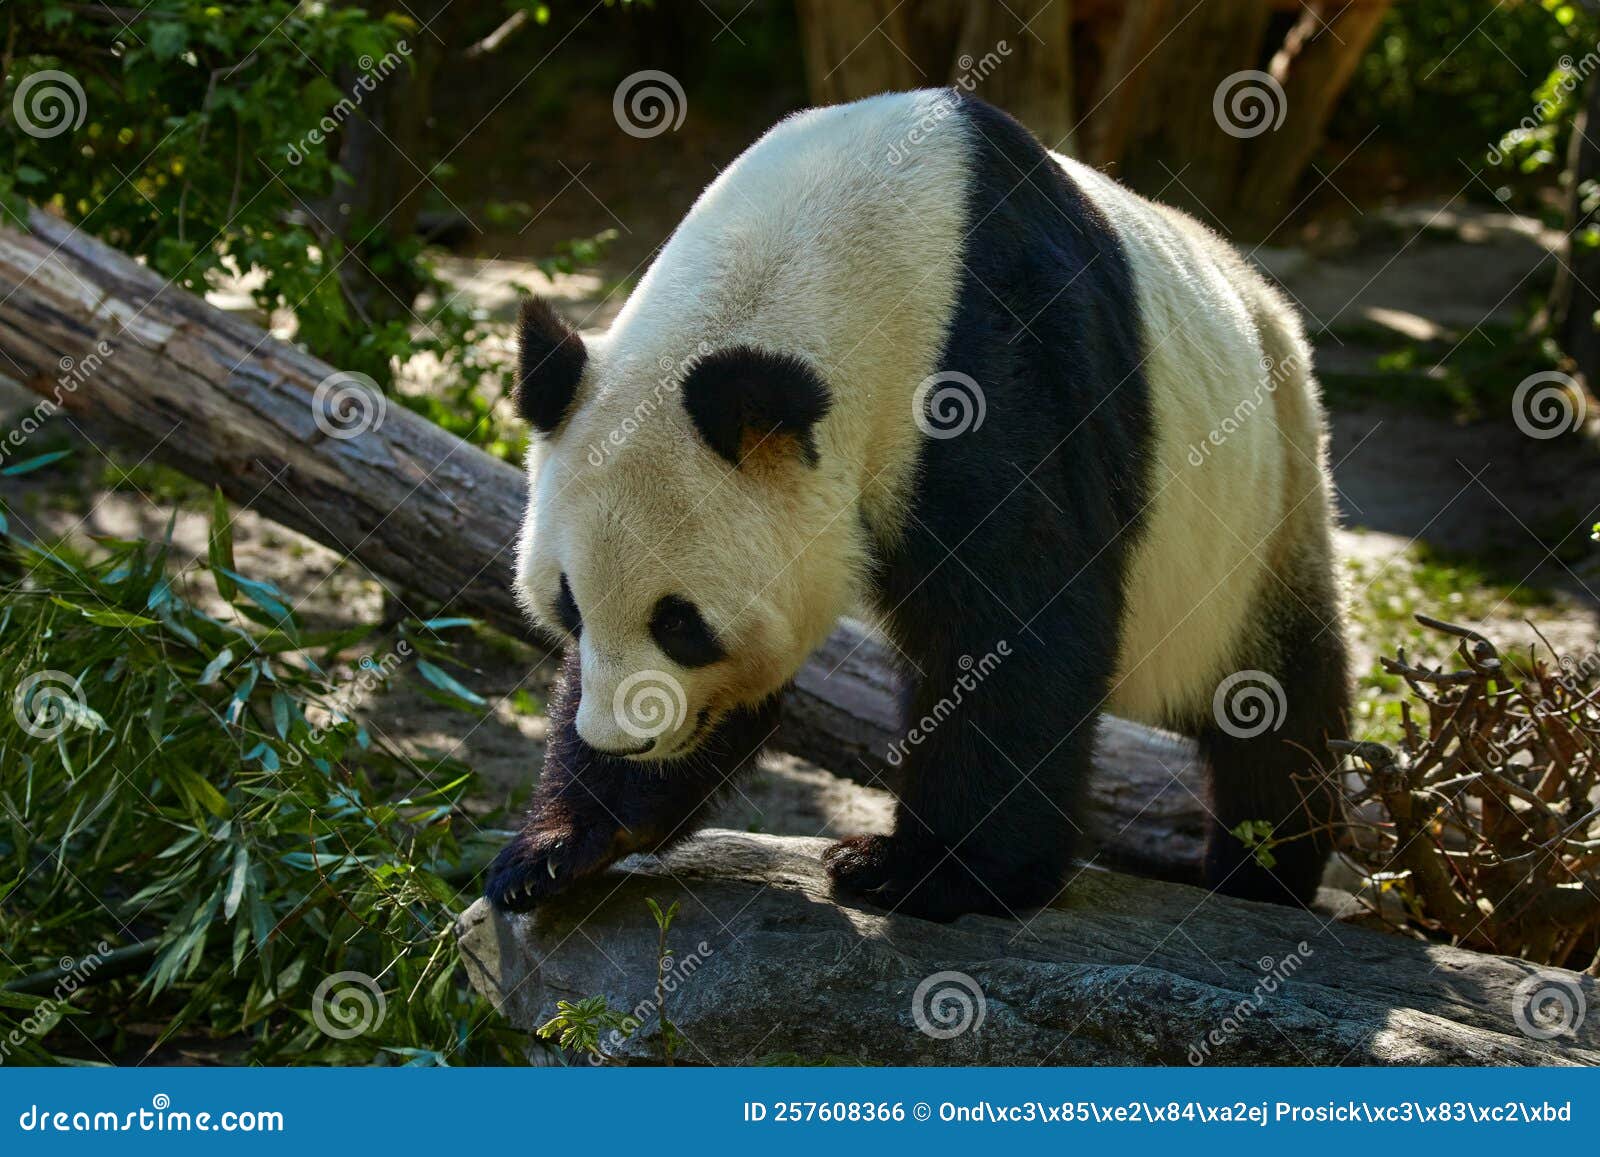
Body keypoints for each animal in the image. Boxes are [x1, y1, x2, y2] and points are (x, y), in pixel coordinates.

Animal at [480, 88, 1344, 921]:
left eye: (680, 623)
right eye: (569, 608)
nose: (621, 741)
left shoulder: (992, 365)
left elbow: (1017, 622)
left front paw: (929, 871)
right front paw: (557, 848)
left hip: (1269, 497)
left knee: (1274, 695)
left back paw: (1262, 871)